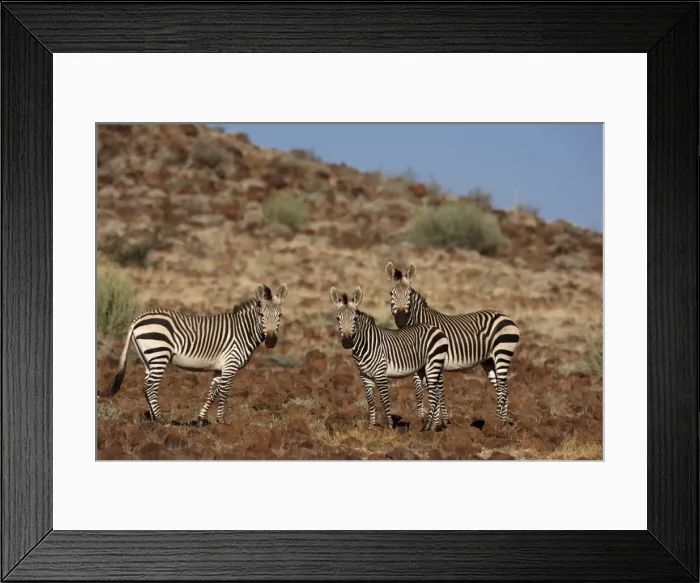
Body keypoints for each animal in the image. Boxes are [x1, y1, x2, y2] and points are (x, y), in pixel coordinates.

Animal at [101, 283, 288, 426]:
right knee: (151, 386)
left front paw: (200, 420)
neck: (244, 331)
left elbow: (213, 393)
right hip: (159, 354)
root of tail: (138, 318)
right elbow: (224, 391)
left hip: (149, 358)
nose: (271, 341)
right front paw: (222, 422)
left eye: (280, 315)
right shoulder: (231, 363)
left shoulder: (220, 368)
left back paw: (153, 419)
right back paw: (162, 420)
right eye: (261, 315)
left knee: (145, 385)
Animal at [329, 285, 450, 432]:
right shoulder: (365, 375)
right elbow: (370, 401)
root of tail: (435, 328)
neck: (365, 345)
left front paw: (390, 427)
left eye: (355, 319)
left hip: (433, 363)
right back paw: (433, 427)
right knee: (436, 392)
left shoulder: (380, 373)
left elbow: (384, 399)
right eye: (337, 318)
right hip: (425, 368)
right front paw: (370, 427)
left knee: (434, 394)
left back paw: (426, 428)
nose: (347, 342)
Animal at [384, 261, 521, 424]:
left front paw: (439, 422)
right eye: (391, 294)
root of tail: (506, 317)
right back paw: (502, 422)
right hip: (489, 360)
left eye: (409, 294)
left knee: (503, 388)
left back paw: (497, 423)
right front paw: (421, 420)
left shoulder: (436, 361)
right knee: (502, 388)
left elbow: (438, 391)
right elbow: (419, 391)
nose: (401, 319)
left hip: (502, 353)